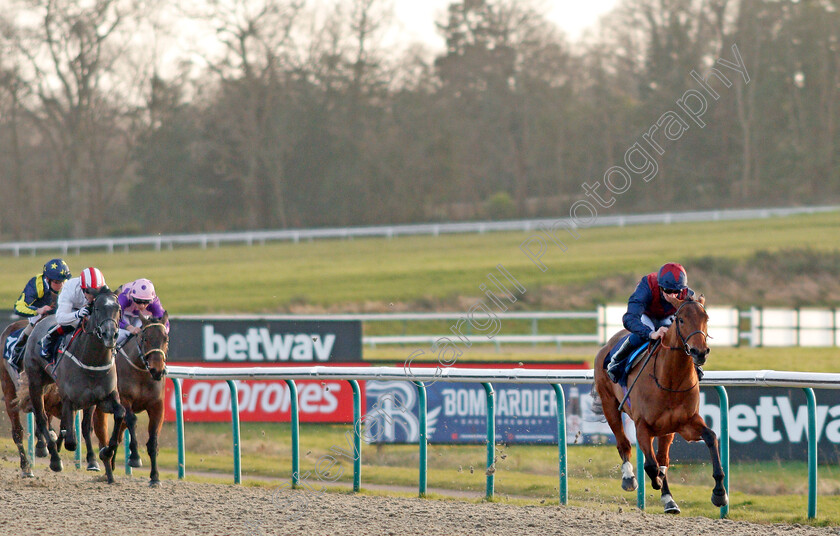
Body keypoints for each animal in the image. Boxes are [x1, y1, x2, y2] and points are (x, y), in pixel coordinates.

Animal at [21, 286, 125, 484]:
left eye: (118, 308)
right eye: (97, 308)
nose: (110, 334)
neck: (92, 361)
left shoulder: (104, 397)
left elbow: (120, 414)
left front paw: (106, 452)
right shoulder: (69, 399)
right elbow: (71, 441)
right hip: (36, 382)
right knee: (42, 418)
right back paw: (54, 457)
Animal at [95, 314, 169, 486]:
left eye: (166, 339)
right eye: (145, 338)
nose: (157, 370)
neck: (141, 372)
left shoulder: (157, 405)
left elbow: (153, 440)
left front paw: (155, 477)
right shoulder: (124, 399)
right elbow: (132, 419)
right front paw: (135, 457)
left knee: (118, 435)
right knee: (101, 434)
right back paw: (105, 464)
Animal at [592, 296, 724, 512]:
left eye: (706, 318)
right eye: (680, 320)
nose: (700, 352)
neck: (670, 379)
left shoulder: (685, 423)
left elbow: (711, 437)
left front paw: (719, 493)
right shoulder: (642, 426)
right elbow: (650, 465)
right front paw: (654, 480)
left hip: (667, 428)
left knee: (663, 458)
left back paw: (669, 499)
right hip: (609, 404)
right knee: (623, 443)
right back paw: (629, 478)